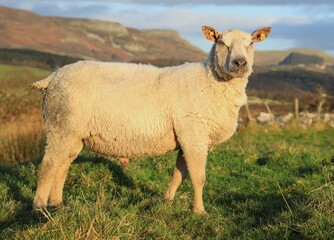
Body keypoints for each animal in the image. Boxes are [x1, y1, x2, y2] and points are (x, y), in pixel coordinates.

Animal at [31, 25, 272, 215]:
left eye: (251, 43)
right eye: (221, 42)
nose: (240, 63)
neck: (209, 81)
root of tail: (54, 76)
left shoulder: (186, 137)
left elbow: (179, 174)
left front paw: (167, 201)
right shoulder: (194, 135)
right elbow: (198, 177)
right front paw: (200, 211)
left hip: (72, 134)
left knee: (62, 166)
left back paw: (57, 203)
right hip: (60, 127)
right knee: (48, 167)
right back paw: (40, 208)